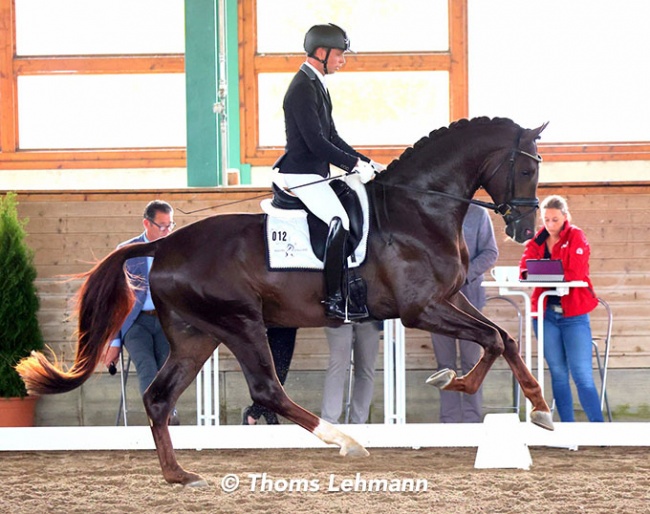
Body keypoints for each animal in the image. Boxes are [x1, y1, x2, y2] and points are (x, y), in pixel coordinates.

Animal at [17, 116, 548, 484]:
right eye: (525, 168)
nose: (524, 229)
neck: (418, 208)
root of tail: (163, 246)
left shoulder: (447, 296)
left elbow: (501, 337)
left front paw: (539, 409)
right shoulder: (421, 309)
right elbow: (491, 340)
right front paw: (455, 382)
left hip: (196, 335)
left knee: (159, 398)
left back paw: (178, 475)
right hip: (241, 324)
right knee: (267, 391)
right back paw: (345, 441)